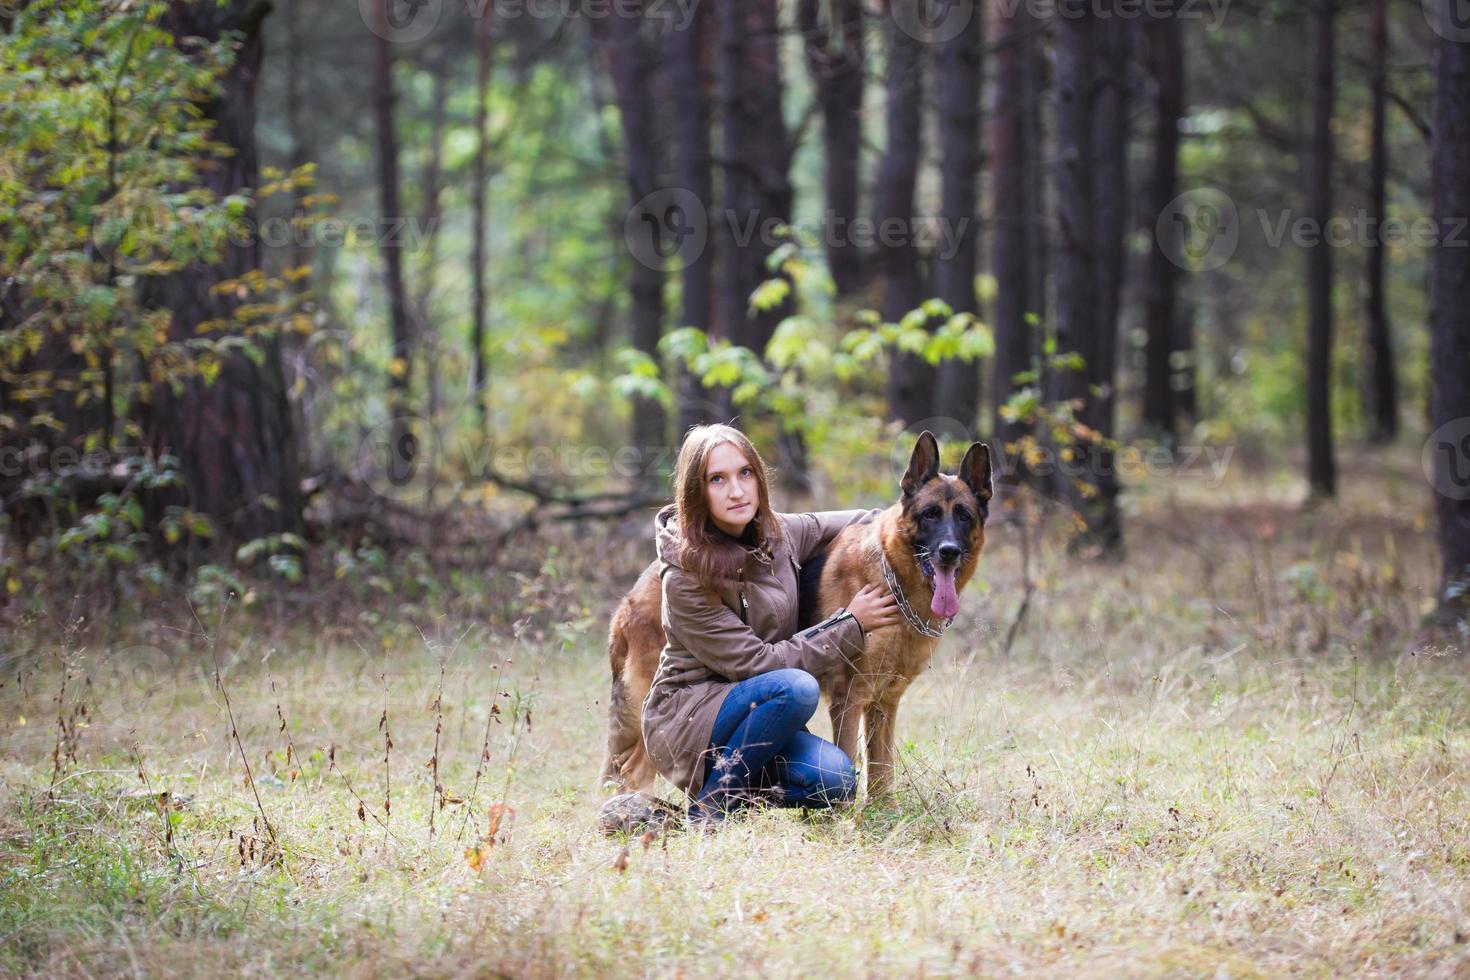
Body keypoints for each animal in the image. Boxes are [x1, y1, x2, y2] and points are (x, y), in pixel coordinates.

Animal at [602, 431, 993, 799]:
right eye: (930, 514)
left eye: (963, 516)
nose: (949, 552)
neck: (893, 581)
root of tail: (627, 601)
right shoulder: (849, 699)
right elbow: (849, 763)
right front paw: (849, 819)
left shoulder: (884, 702)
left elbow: (882, 771)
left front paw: (883, 813)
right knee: (632, 770)